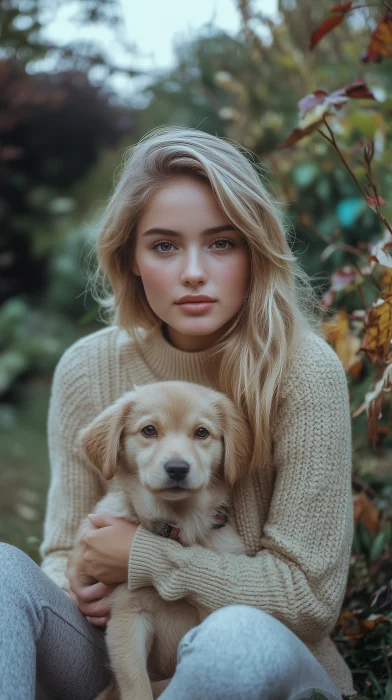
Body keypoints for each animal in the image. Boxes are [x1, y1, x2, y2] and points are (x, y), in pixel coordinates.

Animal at [66, 382, 253, 700]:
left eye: (201, 432)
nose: (177, 468)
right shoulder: (128, 614)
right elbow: (136, 685)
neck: (179, 526)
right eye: (149, 430)